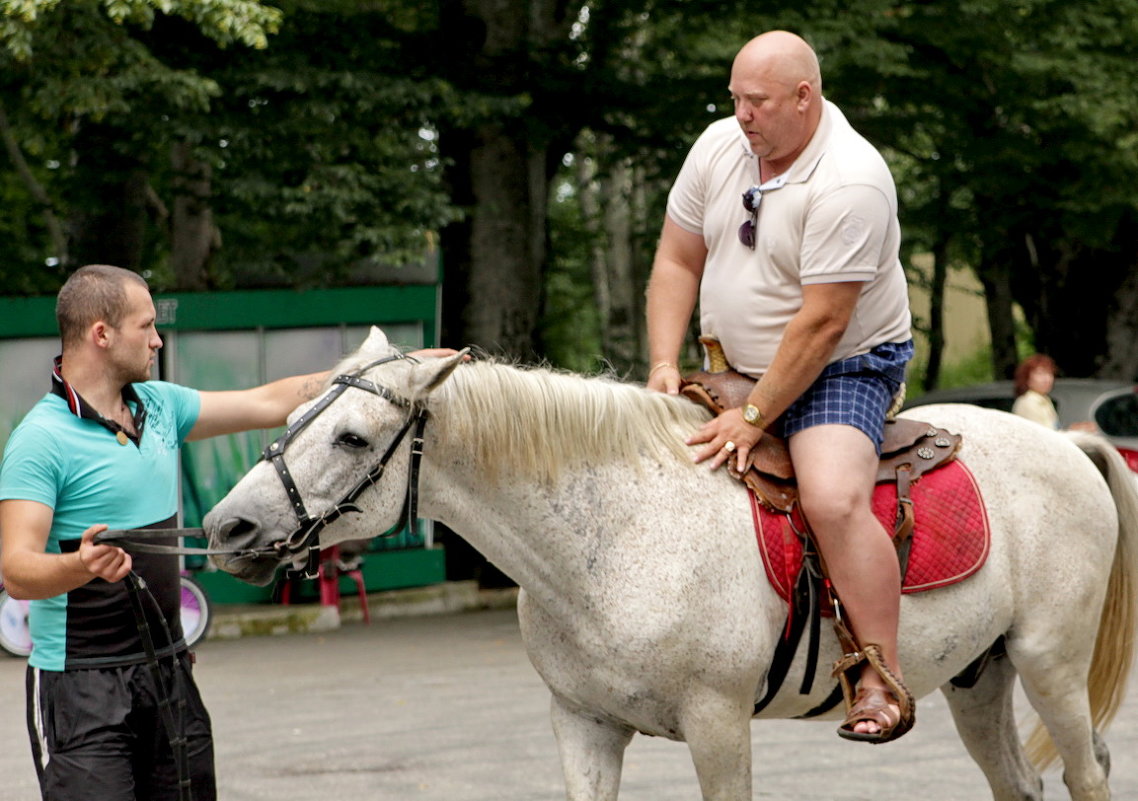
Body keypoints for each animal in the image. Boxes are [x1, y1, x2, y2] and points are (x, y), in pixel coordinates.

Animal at [204, 327, 1138, 801]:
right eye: (293, 414)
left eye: (352, 437)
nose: (227, 526)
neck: (617, 534)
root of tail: (1069, 444)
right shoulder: (581, 726)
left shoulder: (718, 727)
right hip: (980, 677)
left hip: (1049, 665)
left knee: (1087, 772)